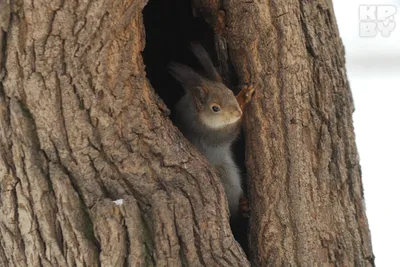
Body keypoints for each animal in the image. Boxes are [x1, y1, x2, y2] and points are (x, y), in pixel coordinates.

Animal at [169, 44, 253, 219]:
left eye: (229, 92)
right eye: (215, 108)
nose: (237, 112)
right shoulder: (210, 136)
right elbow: (232, 132)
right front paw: (244, 97)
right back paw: (242, 206)